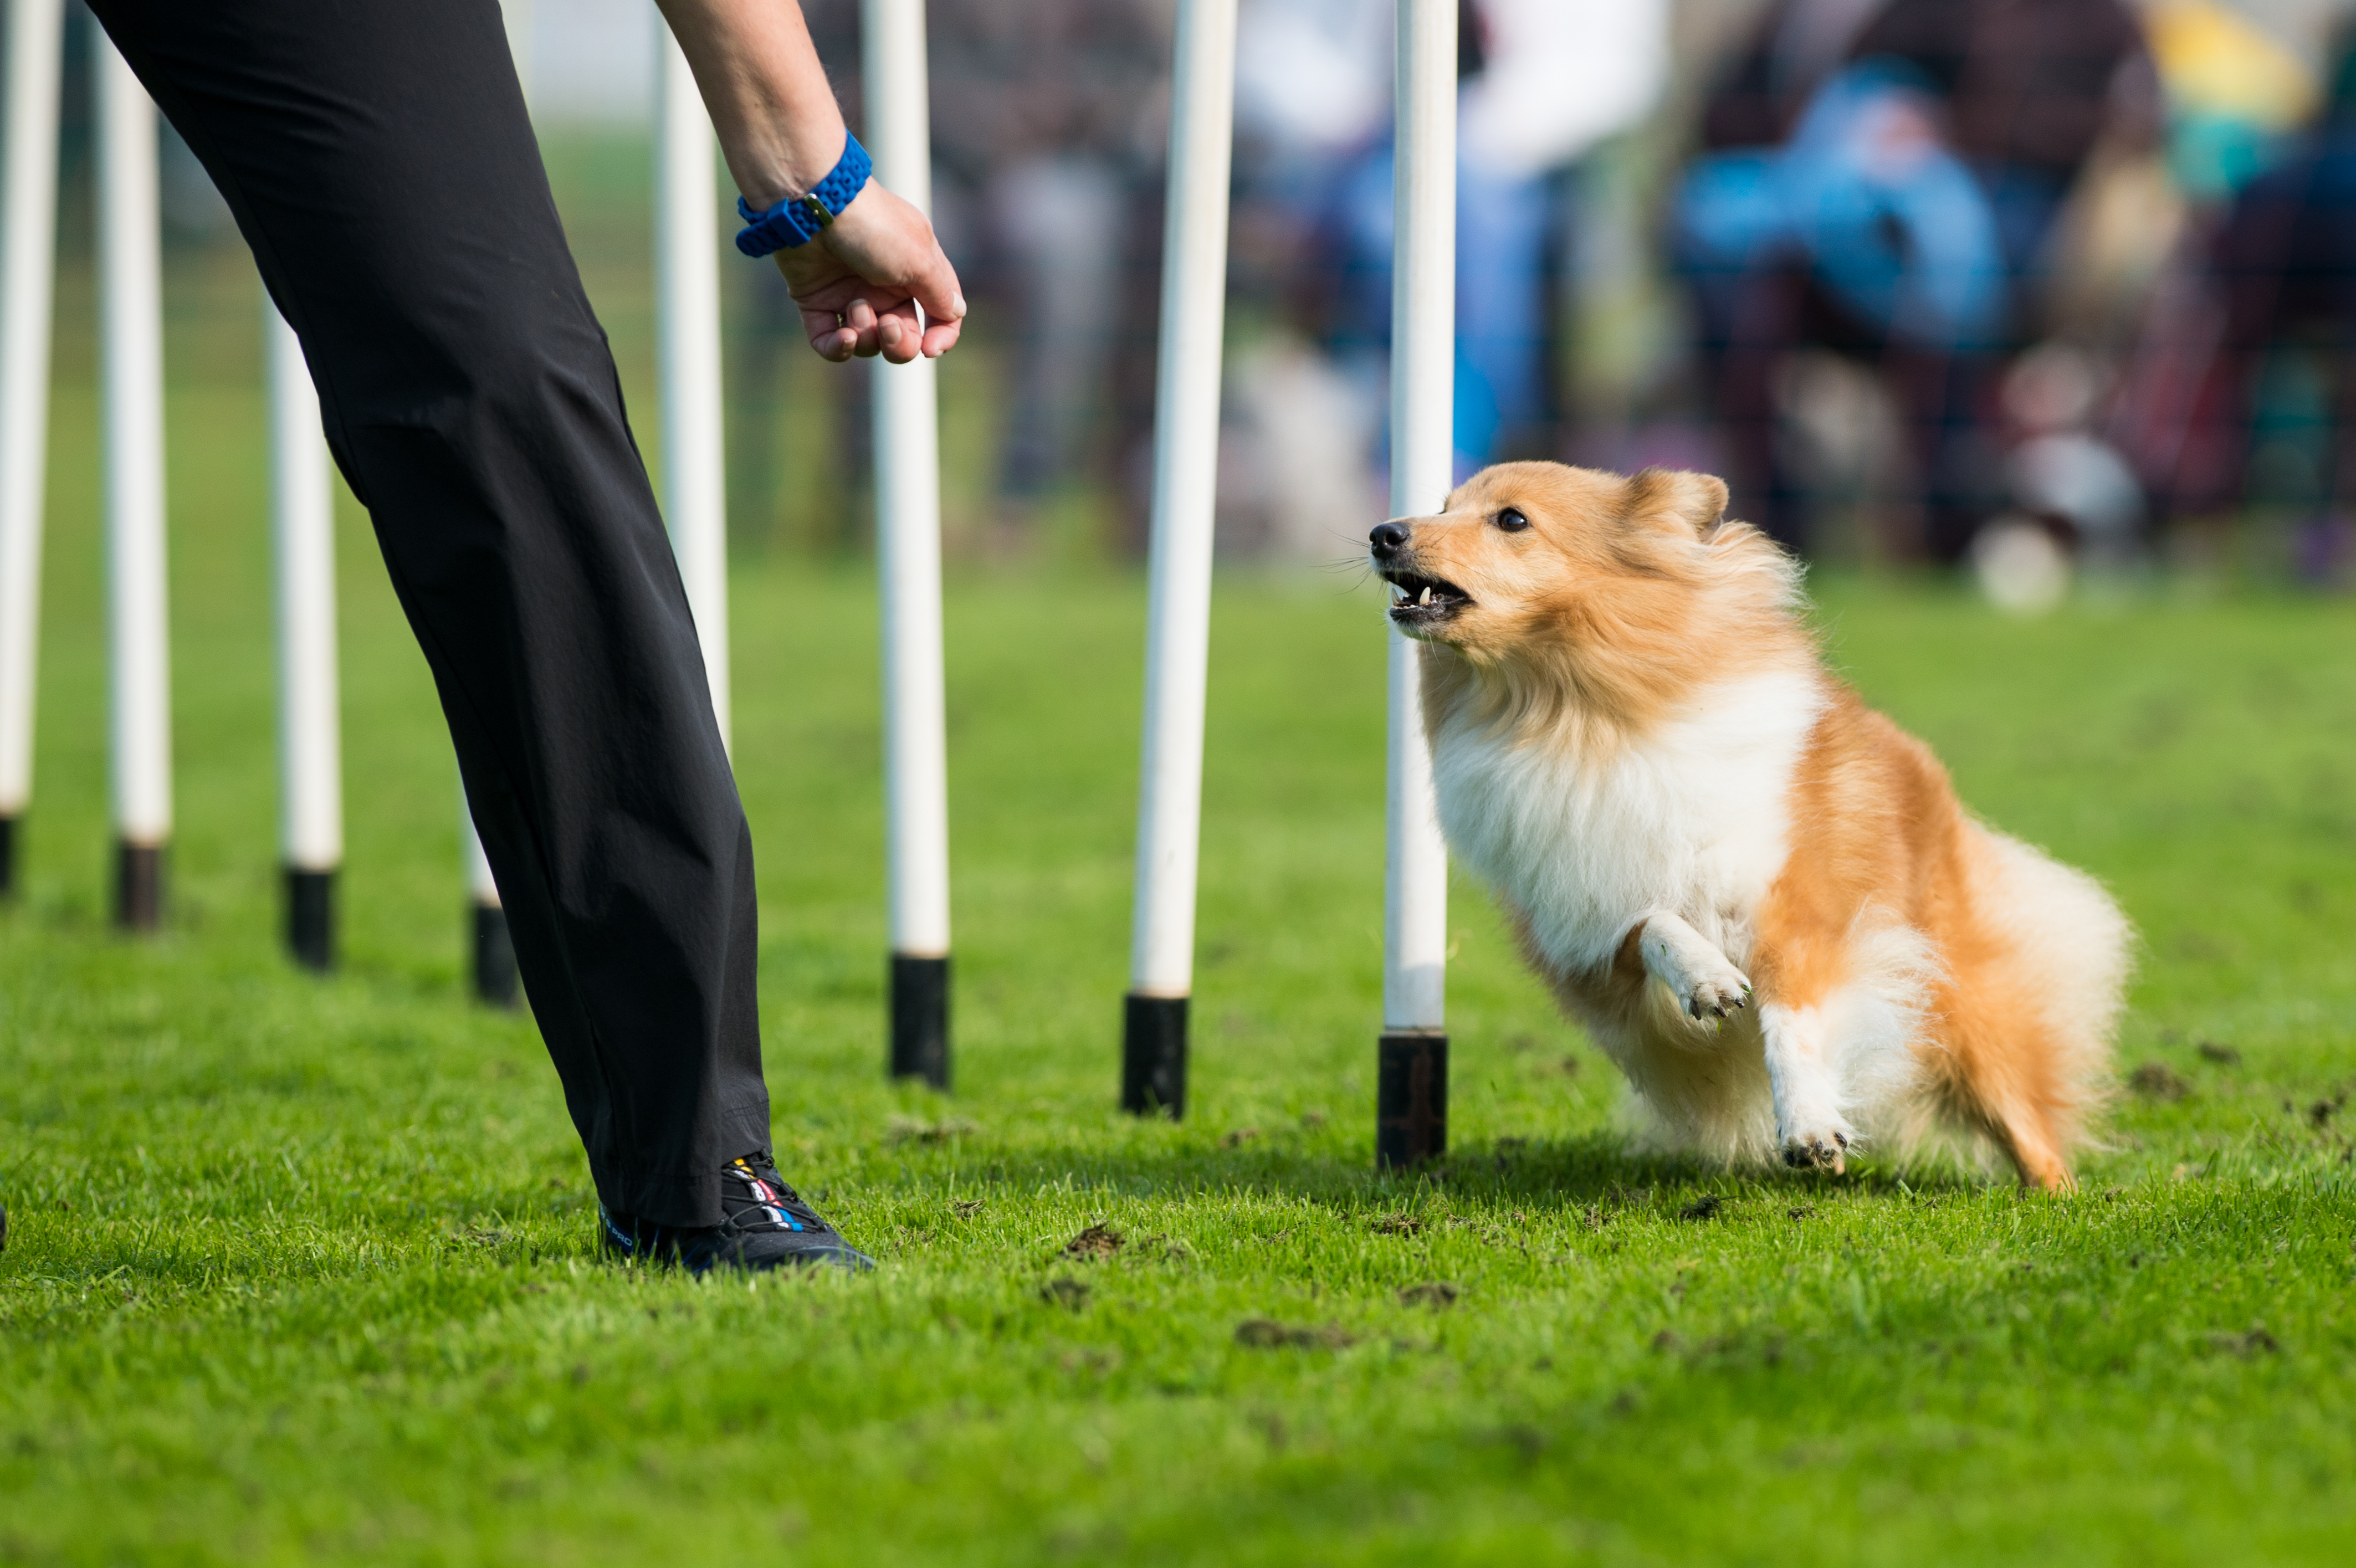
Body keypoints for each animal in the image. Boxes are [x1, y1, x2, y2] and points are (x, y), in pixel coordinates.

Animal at [1376, 464, 2139, 1186]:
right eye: (1442, 506)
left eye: (1512, 519)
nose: (1384, 532)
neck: (1577, 717)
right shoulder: (1586, 927)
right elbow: (1652, 922)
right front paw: (1707, 980)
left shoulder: (1796, 910)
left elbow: (1789, 1020)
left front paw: (1808, 1125)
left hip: (1965, 1011)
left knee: (2026, 1121)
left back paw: (2057, 1195)